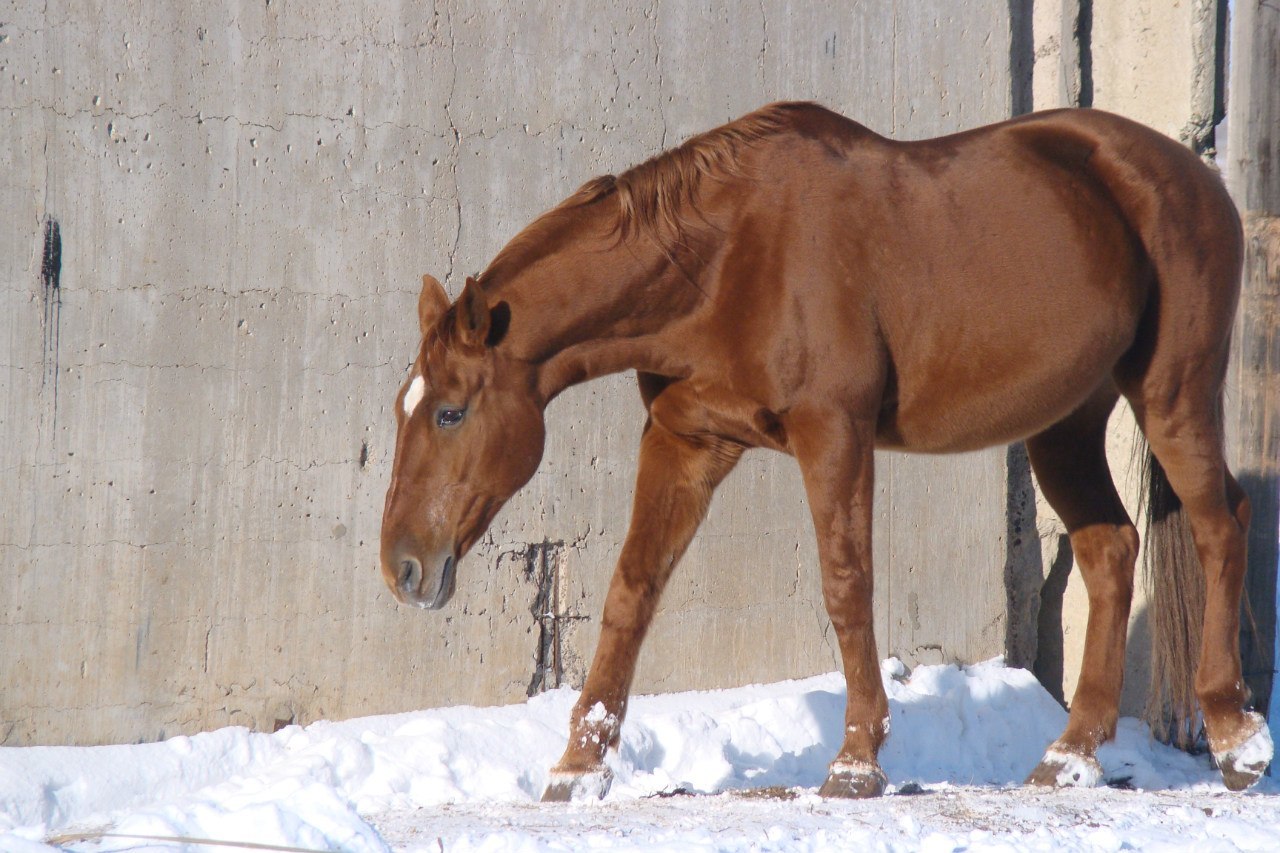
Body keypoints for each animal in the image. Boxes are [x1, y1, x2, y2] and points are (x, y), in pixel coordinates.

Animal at [376, 101, 1269, 799]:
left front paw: (855, 760)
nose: (404, 567)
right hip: (1065, 423)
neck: (724, 258)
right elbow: (632, 592)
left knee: (1221, 524)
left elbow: (847, 586)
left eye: (450, 412)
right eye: (404, 406)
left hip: (1173, 393)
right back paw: (1072, 756)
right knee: (1111, 550)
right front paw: (577, 764)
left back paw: (1236, 737)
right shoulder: (687, 439)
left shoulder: (831, 430)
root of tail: (1194, 177)